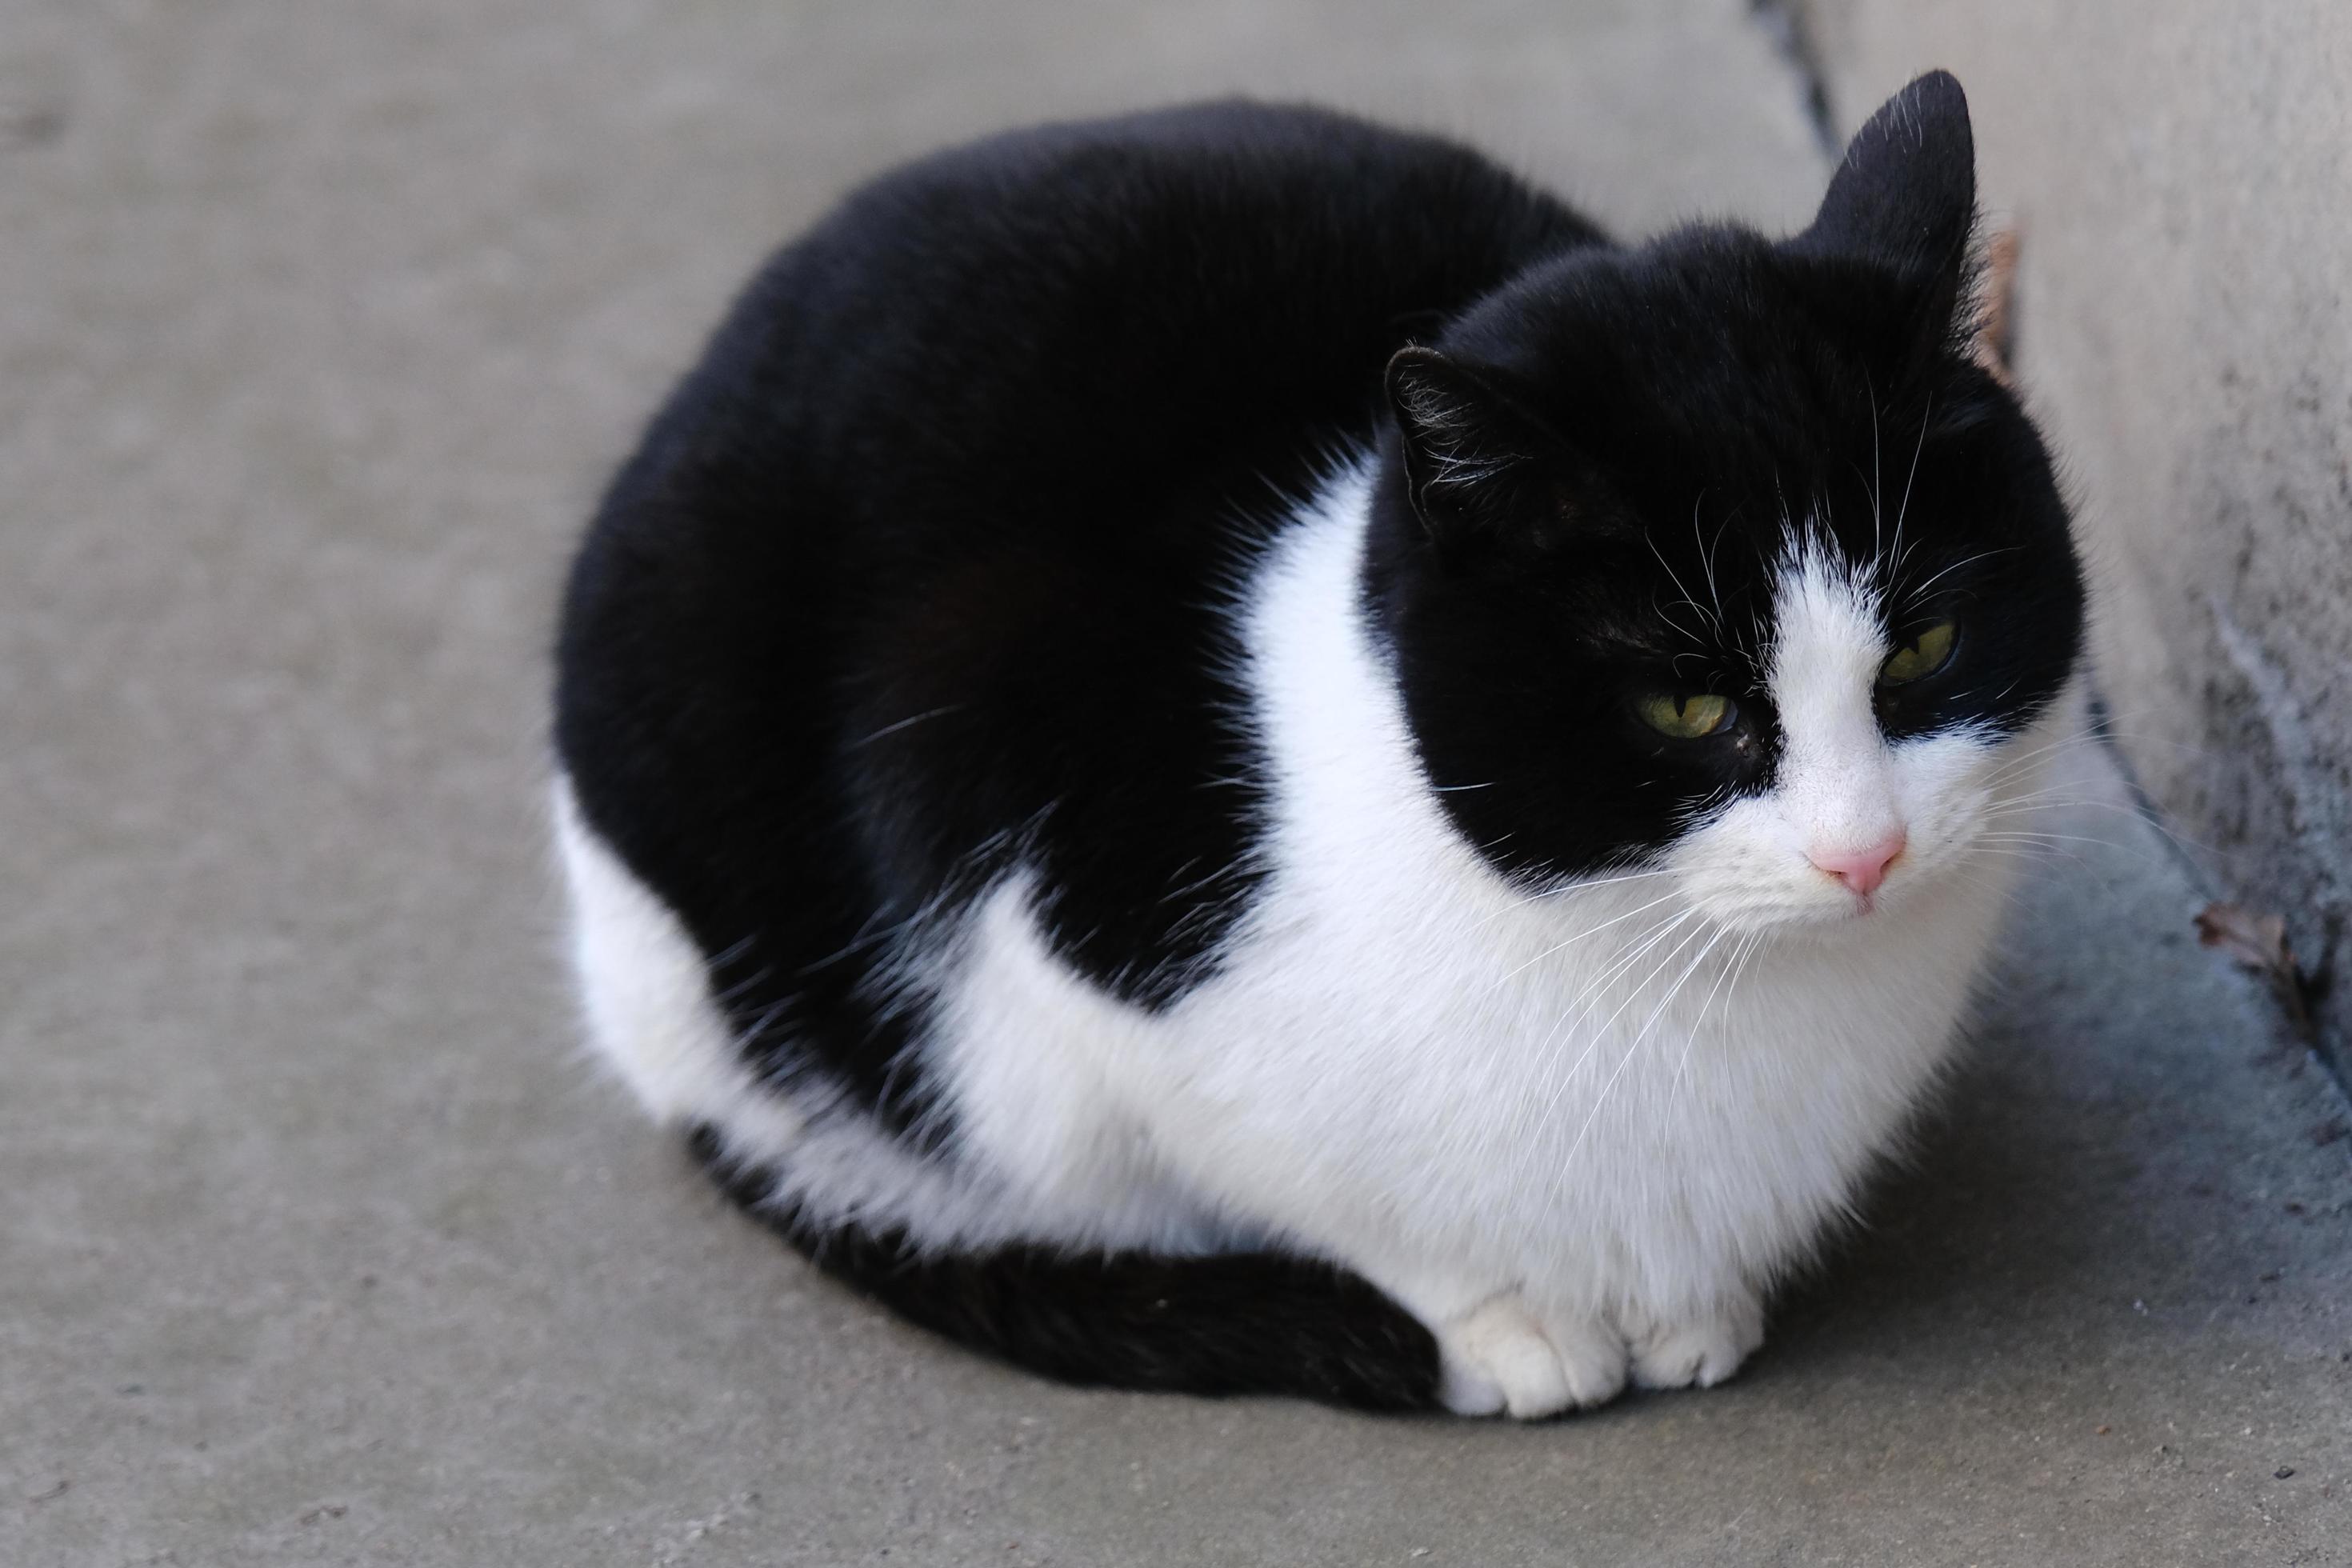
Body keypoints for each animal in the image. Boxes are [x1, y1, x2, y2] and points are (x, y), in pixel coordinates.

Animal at [550, 73, 2078, 1419]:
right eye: (1688, 711)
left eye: (1924, 649)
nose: (1866, 852)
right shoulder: (1039, 897)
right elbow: (1329, 1196)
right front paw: (1506, 1320)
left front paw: (1686, 1307)